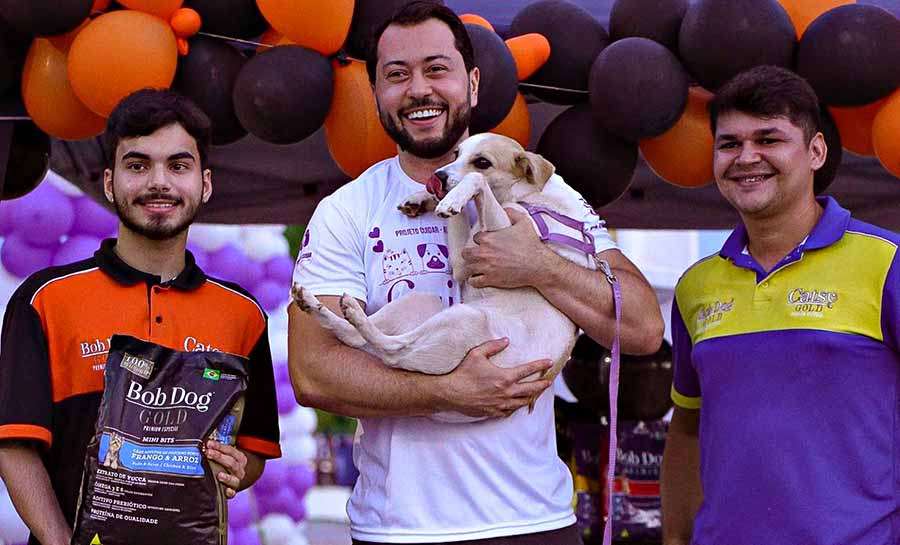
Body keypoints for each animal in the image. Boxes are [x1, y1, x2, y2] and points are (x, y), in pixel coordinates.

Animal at [296, 134, 600, 418]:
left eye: (482, 162)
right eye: (456, 153)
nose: (437, 176)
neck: (532, 195)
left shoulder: (472, 255)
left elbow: (476, 183)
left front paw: (450, 201)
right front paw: (422, 199)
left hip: (464, 318)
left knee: (393, 351)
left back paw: (355, 316)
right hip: (424, 303)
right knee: (358, 338)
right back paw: (318, 305)